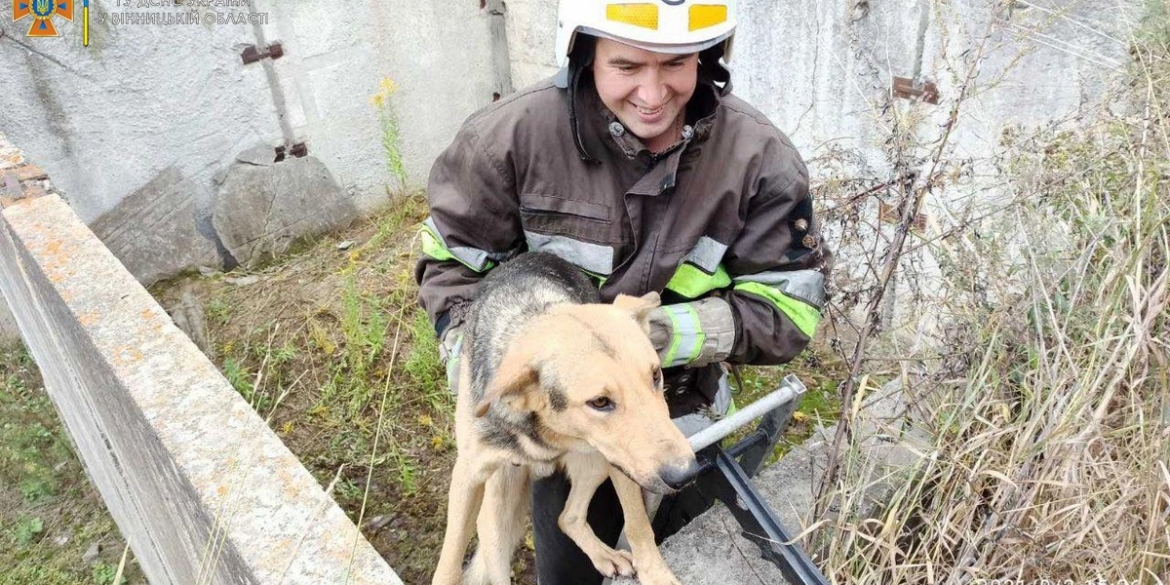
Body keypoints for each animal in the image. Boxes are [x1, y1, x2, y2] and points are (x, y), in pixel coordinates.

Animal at [435, 253, 697, 585]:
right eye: (600, 402)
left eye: (655, 375)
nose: (687, 474)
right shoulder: (468, 473)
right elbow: (449, 559)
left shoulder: (622, 463)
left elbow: (638, 526)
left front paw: (656, 573)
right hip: (498, 511)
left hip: (596, 461)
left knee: (567, 517)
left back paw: (605, 555)